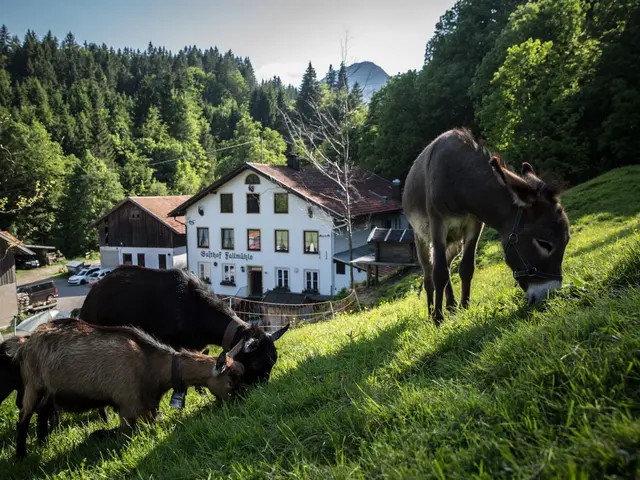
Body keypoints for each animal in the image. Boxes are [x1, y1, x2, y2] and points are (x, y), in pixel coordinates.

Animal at [8, 318, 246, 458]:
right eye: (231, 380)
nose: (241, 403)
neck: (151, 364)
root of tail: (25, 345)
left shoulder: (148, 408)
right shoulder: (127, 407)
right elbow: (124, 438)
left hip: (49, 392)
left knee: (42, 415)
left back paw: (42, 443)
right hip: (33, 385)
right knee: (23, 418)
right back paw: (21, 455)